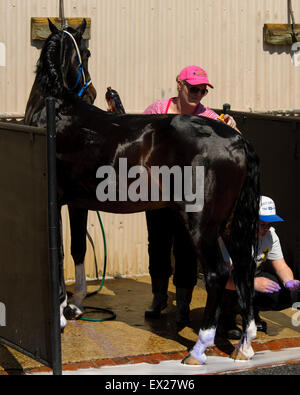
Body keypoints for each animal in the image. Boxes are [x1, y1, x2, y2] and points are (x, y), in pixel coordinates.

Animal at [25, 18, 260, 366]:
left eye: (88, 51)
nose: (93, 91)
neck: (57, 110)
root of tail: (237, 139)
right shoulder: (77, 203)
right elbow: (78, 250)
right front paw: (76, 305)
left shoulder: (55, 200)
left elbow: (60, 257)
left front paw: (62, 315)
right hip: (229, 224)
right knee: (243, 269)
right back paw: (243, 346)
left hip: (202, 224)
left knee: (219, 273)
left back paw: (198, 349)